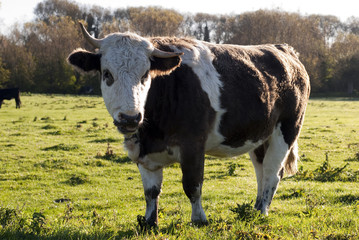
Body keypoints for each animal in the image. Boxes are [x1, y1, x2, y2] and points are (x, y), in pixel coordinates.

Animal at [68, 23, 312, 227]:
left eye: (145, 74)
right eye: (107, 74)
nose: (130, 118)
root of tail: (283, 49)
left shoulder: (193, 145)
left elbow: (192, 184)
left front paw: (199, 219)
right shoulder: (144, 151)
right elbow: (151, 191)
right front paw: (149, 222)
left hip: (287, 130)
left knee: (272, 172)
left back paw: (261, 212)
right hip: (259, 135)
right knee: (261, 172)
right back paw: (254, 208)